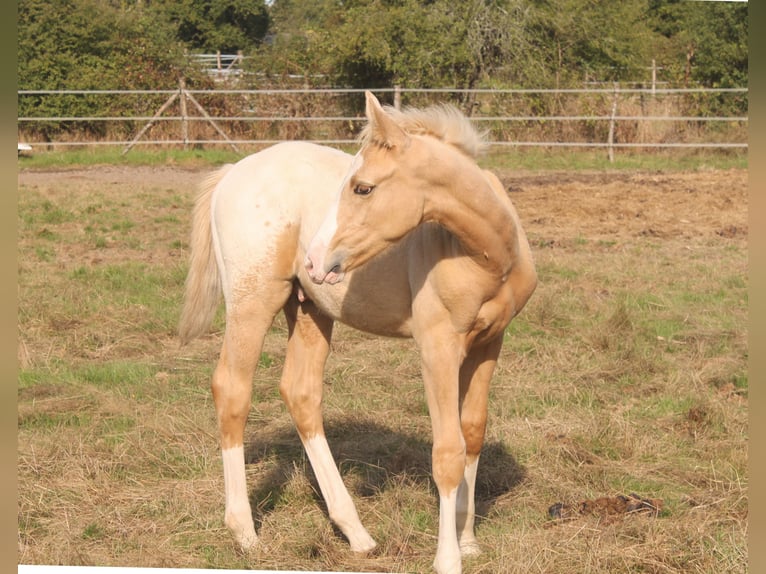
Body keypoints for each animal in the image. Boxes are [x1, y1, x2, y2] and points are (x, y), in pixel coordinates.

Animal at [181, 92, 540, 572]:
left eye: (362, 188)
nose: (315, 259)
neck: (487, 252)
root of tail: (230, 175)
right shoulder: (438, 345)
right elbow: (447, 450)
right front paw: (448, 558)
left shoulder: (489, 341)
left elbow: (473, 433)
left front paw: (468, 541)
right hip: (252, 300)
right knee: (232, 389)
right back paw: (245, 533)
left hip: (309, 308)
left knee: (301, 394)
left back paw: (356, 533)